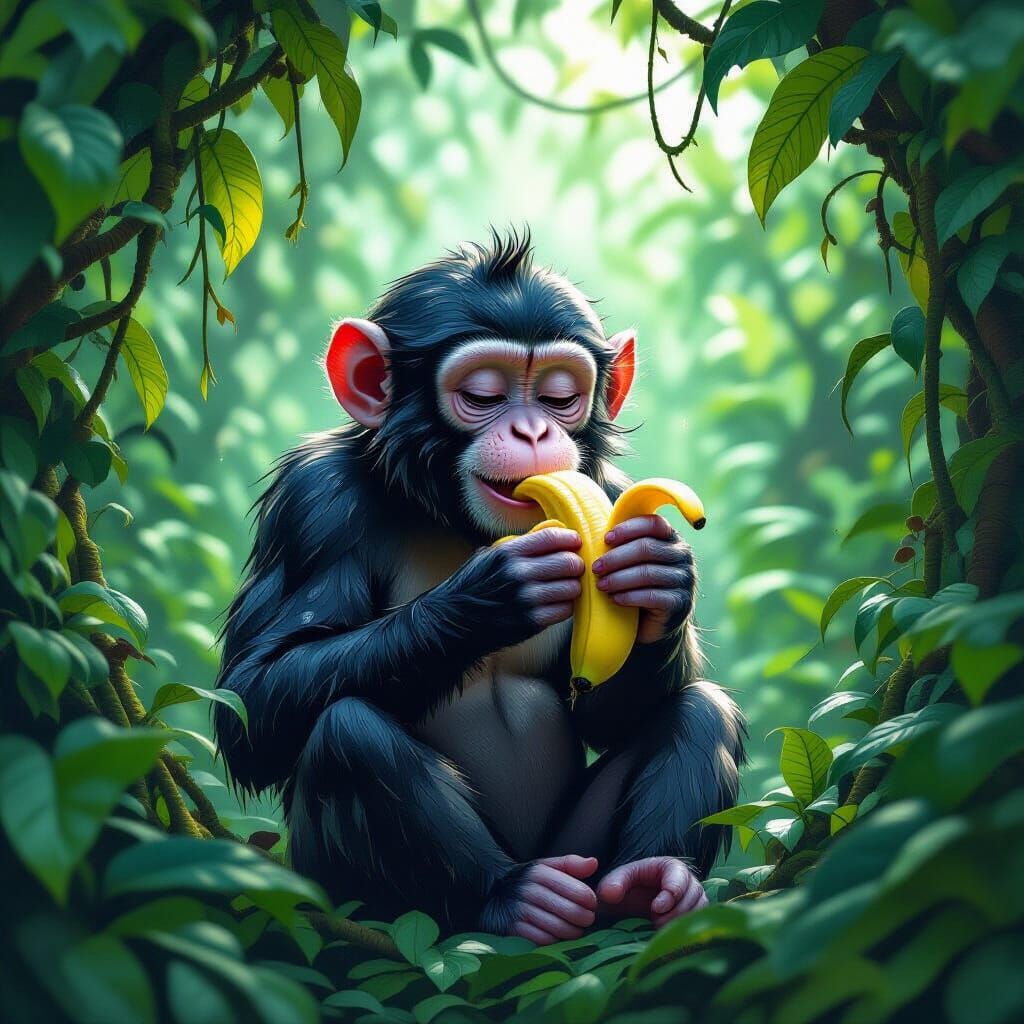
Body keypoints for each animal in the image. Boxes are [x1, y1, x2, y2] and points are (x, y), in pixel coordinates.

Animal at [215, 229, 745, 943]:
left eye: (558, 396)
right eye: (484, 395)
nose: (533, 430)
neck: (454, 517)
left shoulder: (606, 495)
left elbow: (608, 710)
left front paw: (660, 577)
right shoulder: (314, 504)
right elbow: (252, 698)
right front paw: (486, 598)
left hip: (578, 858)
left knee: (699, 709)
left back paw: (649, 883)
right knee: (346, 730)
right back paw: (511, 896)